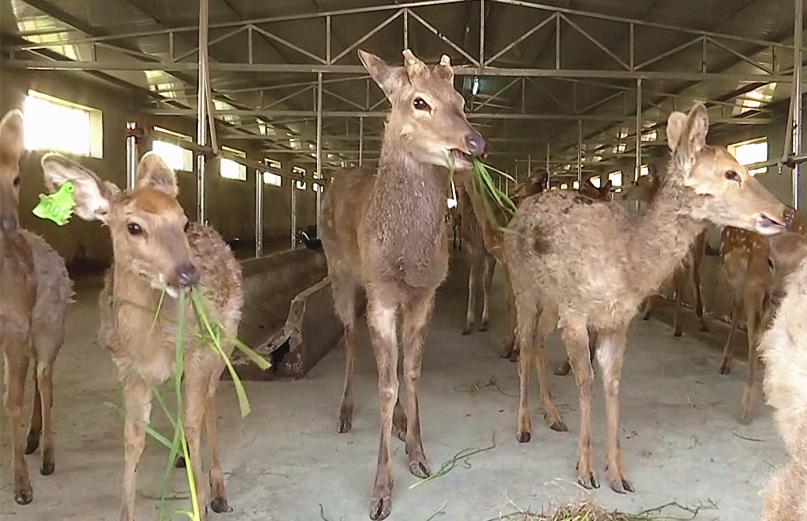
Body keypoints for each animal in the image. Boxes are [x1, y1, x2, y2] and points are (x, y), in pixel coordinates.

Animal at [40, 152, 242, 521]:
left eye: (183, 222)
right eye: (133, 226)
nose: (188, 274)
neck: (150, 345)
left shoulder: (196, 354)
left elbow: (193, 425)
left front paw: (201, 505)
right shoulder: (129, 370)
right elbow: (133, 437)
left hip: (225, 338)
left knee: (207, 401)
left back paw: (218, 491)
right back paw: (181, 460)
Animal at [318, 49, 486, 521]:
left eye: (460, 101)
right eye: (419, 101)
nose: (475, 144)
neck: (407, 258)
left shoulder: (424, 294)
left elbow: (409, 372)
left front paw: (418, 452)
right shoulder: (380, 293)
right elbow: (385, 386)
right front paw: (380, 493)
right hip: (339, 270)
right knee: (350, 335)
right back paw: (344, 412)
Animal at [622, 167, 710, 337]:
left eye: (637, 183)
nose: (624, 195)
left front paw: (647, 310)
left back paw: (677, 326)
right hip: (698, 251)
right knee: (695, 277)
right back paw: (701, 321)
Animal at [718, 208, 803, 424]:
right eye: (771, 262)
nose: (780, 293)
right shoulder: (754, 285)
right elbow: (754, 338)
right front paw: (746, 408)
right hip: (738, 276)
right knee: (738, 307)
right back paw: (725, 363)